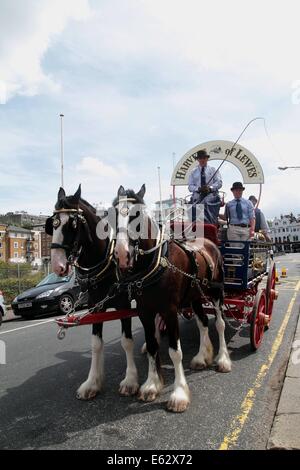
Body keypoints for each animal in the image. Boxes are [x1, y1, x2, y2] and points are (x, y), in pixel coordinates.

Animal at [46, 185, 139, 398]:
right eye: (52, 224)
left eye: (72, 224)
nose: (57, 266)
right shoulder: (96, 306)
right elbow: (96, 344)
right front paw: (92, 382)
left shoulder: (123, 304)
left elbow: (127, 341)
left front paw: (130, 380)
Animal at [113, 184, 231, 412]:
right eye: (112, 215)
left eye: (137, 215)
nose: (122, 255)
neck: (156, 262)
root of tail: (209, 242)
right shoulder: (145, 312)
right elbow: (152, 346)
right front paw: (151, 385)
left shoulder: (169, 311)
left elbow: (175, 352)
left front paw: (179, 394)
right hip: (195, 296)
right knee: (203, 322)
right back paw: (202, 357)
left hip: (216, 293)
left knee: (219, 324)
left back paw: (223, 360)